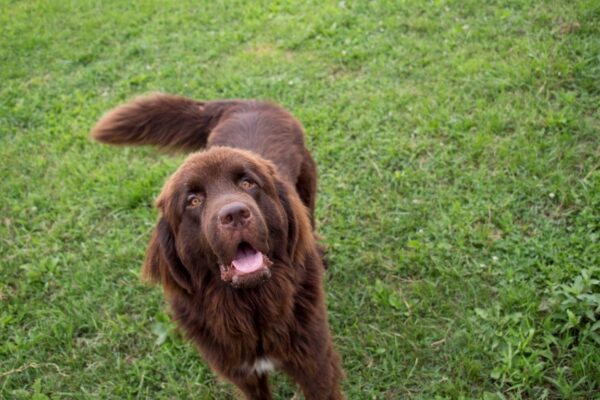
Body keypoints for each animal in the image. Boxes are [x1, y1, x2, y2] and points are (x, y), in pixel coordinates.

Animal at [89, 93, 342, 396]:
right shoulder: (242, 373)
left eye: (248, 183)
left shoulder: (315, 362)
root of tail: (245, 101)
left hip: (307, 189)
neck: (251, 306)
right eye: (194, 200)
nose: (235, 215)